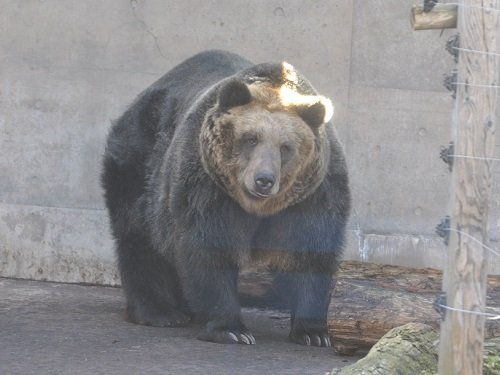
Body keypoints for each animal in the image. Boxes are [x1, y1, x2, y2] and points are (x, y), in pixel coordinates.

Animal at [101, 49, 352, 346]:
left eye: (285, 147)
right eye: (251, 139)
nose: (264, 180)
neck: (259, 208)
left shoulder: (314, 195)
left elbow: (310, 253)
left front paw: (313, 332)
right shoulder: (207, 186)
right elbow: (210, 248)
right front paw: (231, 329)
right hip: (141, 163)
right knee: (139, 236)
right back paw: (160, 312)